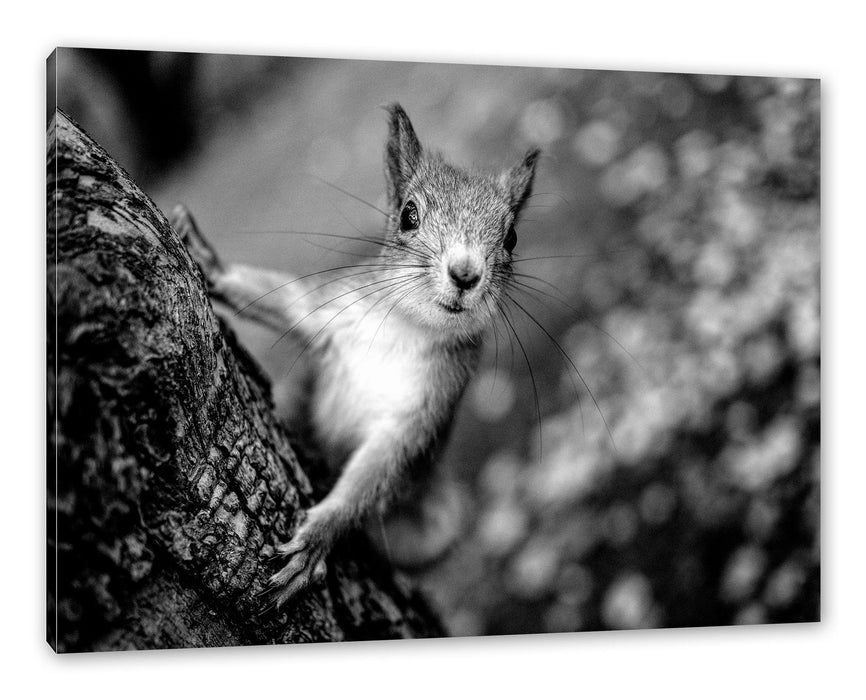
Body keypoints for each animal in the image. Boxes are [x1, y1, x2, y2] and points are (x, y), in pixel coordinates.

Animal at [171, 104, 540, 609]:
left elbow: (375, 474)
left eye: (513, 238)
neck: (407, 329)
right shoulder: (335, 314)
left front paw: (320, 535)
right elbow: (287, 300)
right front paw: (213, 265)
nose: (465, 274)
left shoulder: (426, 410)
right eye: (408, 214)